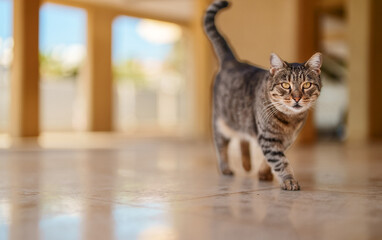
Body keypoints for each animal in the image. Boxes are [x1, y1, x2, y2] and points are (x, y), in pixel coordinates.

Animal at [203, 0, 322, 190]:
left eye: (307, 85)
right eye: (286, 85)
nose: (296, 98)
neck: (290, 120)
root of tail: (233, 61)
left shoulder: (285, 140)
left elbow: (272, 159)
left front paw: (264, 173)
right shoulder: (269, 138)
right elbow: (280, 161)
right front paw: (289, 180)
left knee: (243, 138)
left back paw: (246, 164)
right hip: (221, 122)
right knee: (221, 145)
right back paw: (226, 168)